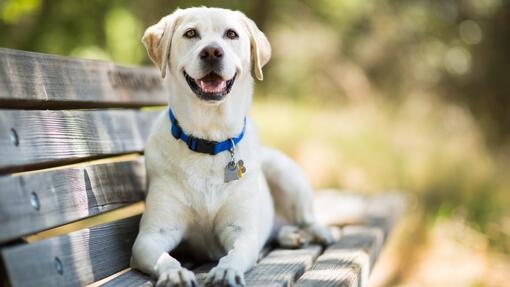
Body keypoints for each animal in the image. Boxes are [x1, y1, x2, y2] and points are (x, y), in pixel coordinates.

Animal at [129, 7, 332, 287]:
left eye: (231, 34)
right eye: (190, 33)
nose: (212, 52)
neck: (209, 141)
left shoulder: (242, 231)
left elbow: (236, 253)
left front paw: (226, 271)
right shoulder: (151, 236)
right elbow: (163, 257)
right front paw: (174, 272)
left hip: (285, 174)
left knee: (307, 218)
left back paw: (319, 232)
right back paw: (290, 235)